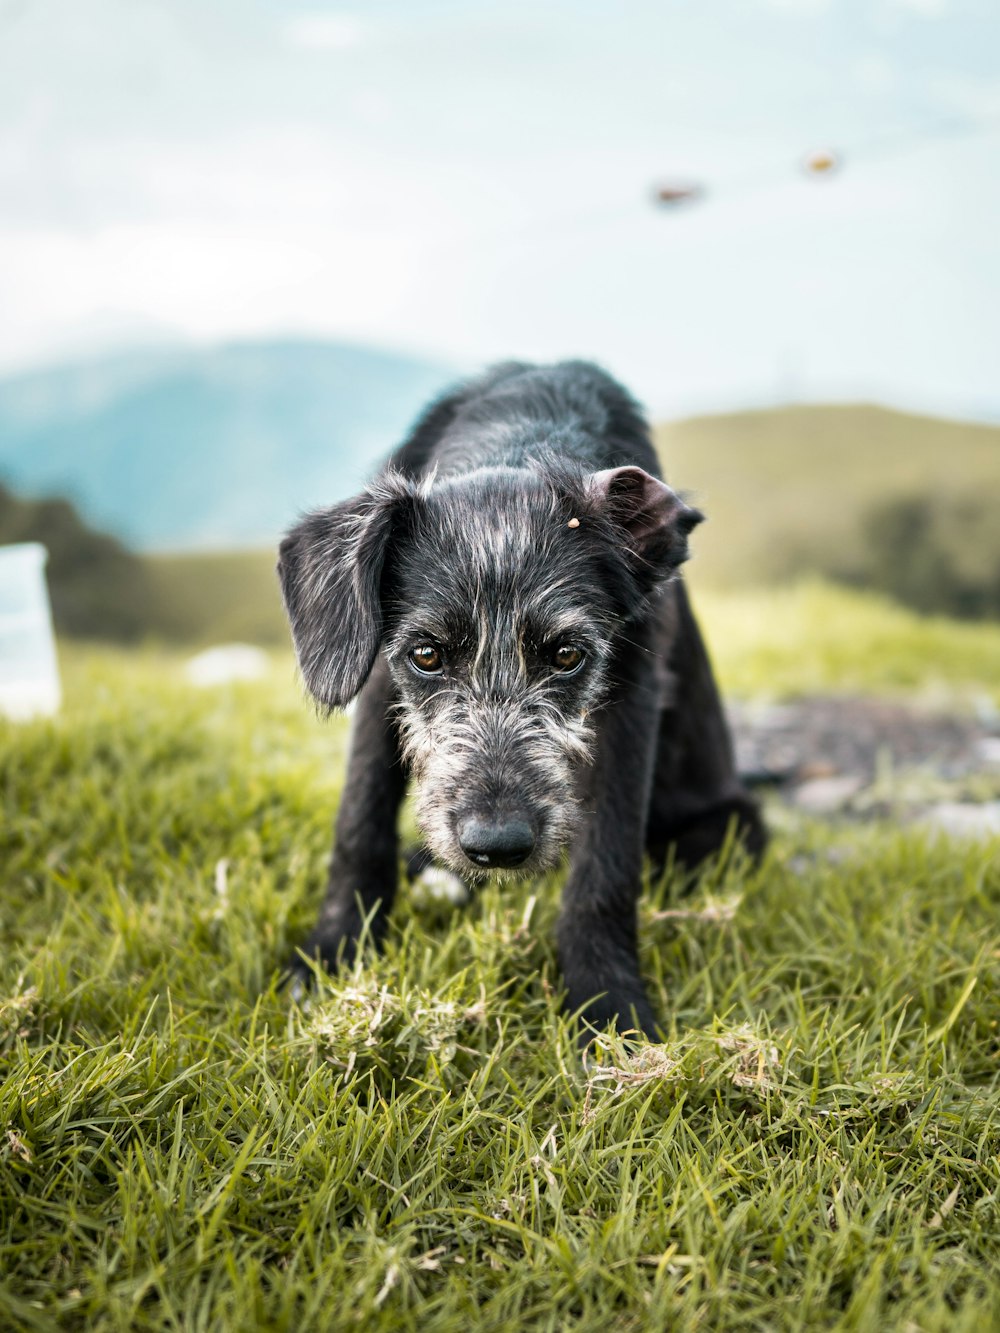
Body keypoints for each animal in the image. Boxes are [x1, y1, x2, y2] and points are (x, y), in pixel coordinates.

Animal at [280, 359, 768, 1034]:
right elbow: (361, 814)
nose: (497, 845)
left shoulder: (631, 698)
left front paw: (608, 1004)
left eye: (566, 655)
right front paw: (333, 952)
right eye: (426, 655)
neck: (524, 435)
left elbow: (606, 860)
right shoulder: (378, 681)